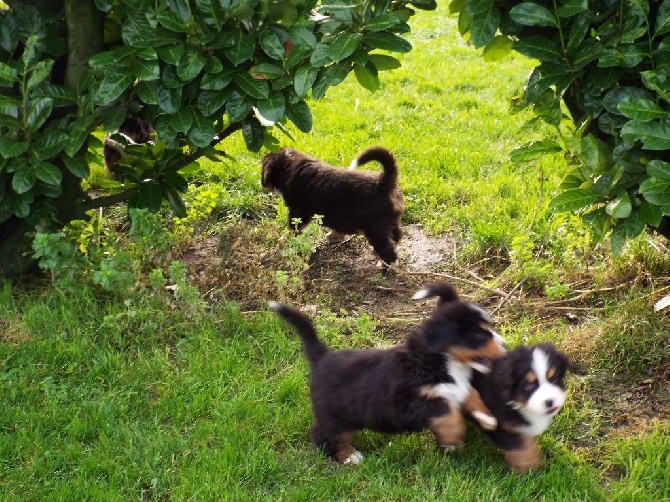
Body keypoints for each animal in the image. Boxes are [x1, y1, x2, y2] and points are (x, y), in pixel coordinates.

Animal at [260, 145, 402, 262]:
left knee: (389, 252)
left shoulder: (299, 212)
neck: (290, 165)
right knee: (397, 236)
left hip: (376, 228)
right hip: (390, 221)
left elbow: (292, 228)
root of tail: (382, 182)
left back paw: (385, 266)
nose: (262, 184)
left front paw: (283, 242)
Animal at [268, 284, 504, 464]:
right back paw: (348, 457)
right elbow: (446, 412)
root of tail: (322, 357)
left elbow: (471, 396)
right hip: (336, 416)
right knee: (325, 436)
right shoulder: (408, 402)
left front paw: (488, 418)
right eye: (480, 334)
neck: (440, 362)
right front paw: (453, 437)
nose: (504, 344)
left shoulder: (457, 388)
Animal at [472, 344, 572, 472]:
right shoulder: (499, 427)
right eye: (528, 385)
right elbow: (520, 447)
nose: (550, 401)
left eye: (553, 378)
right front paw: (530, 466)